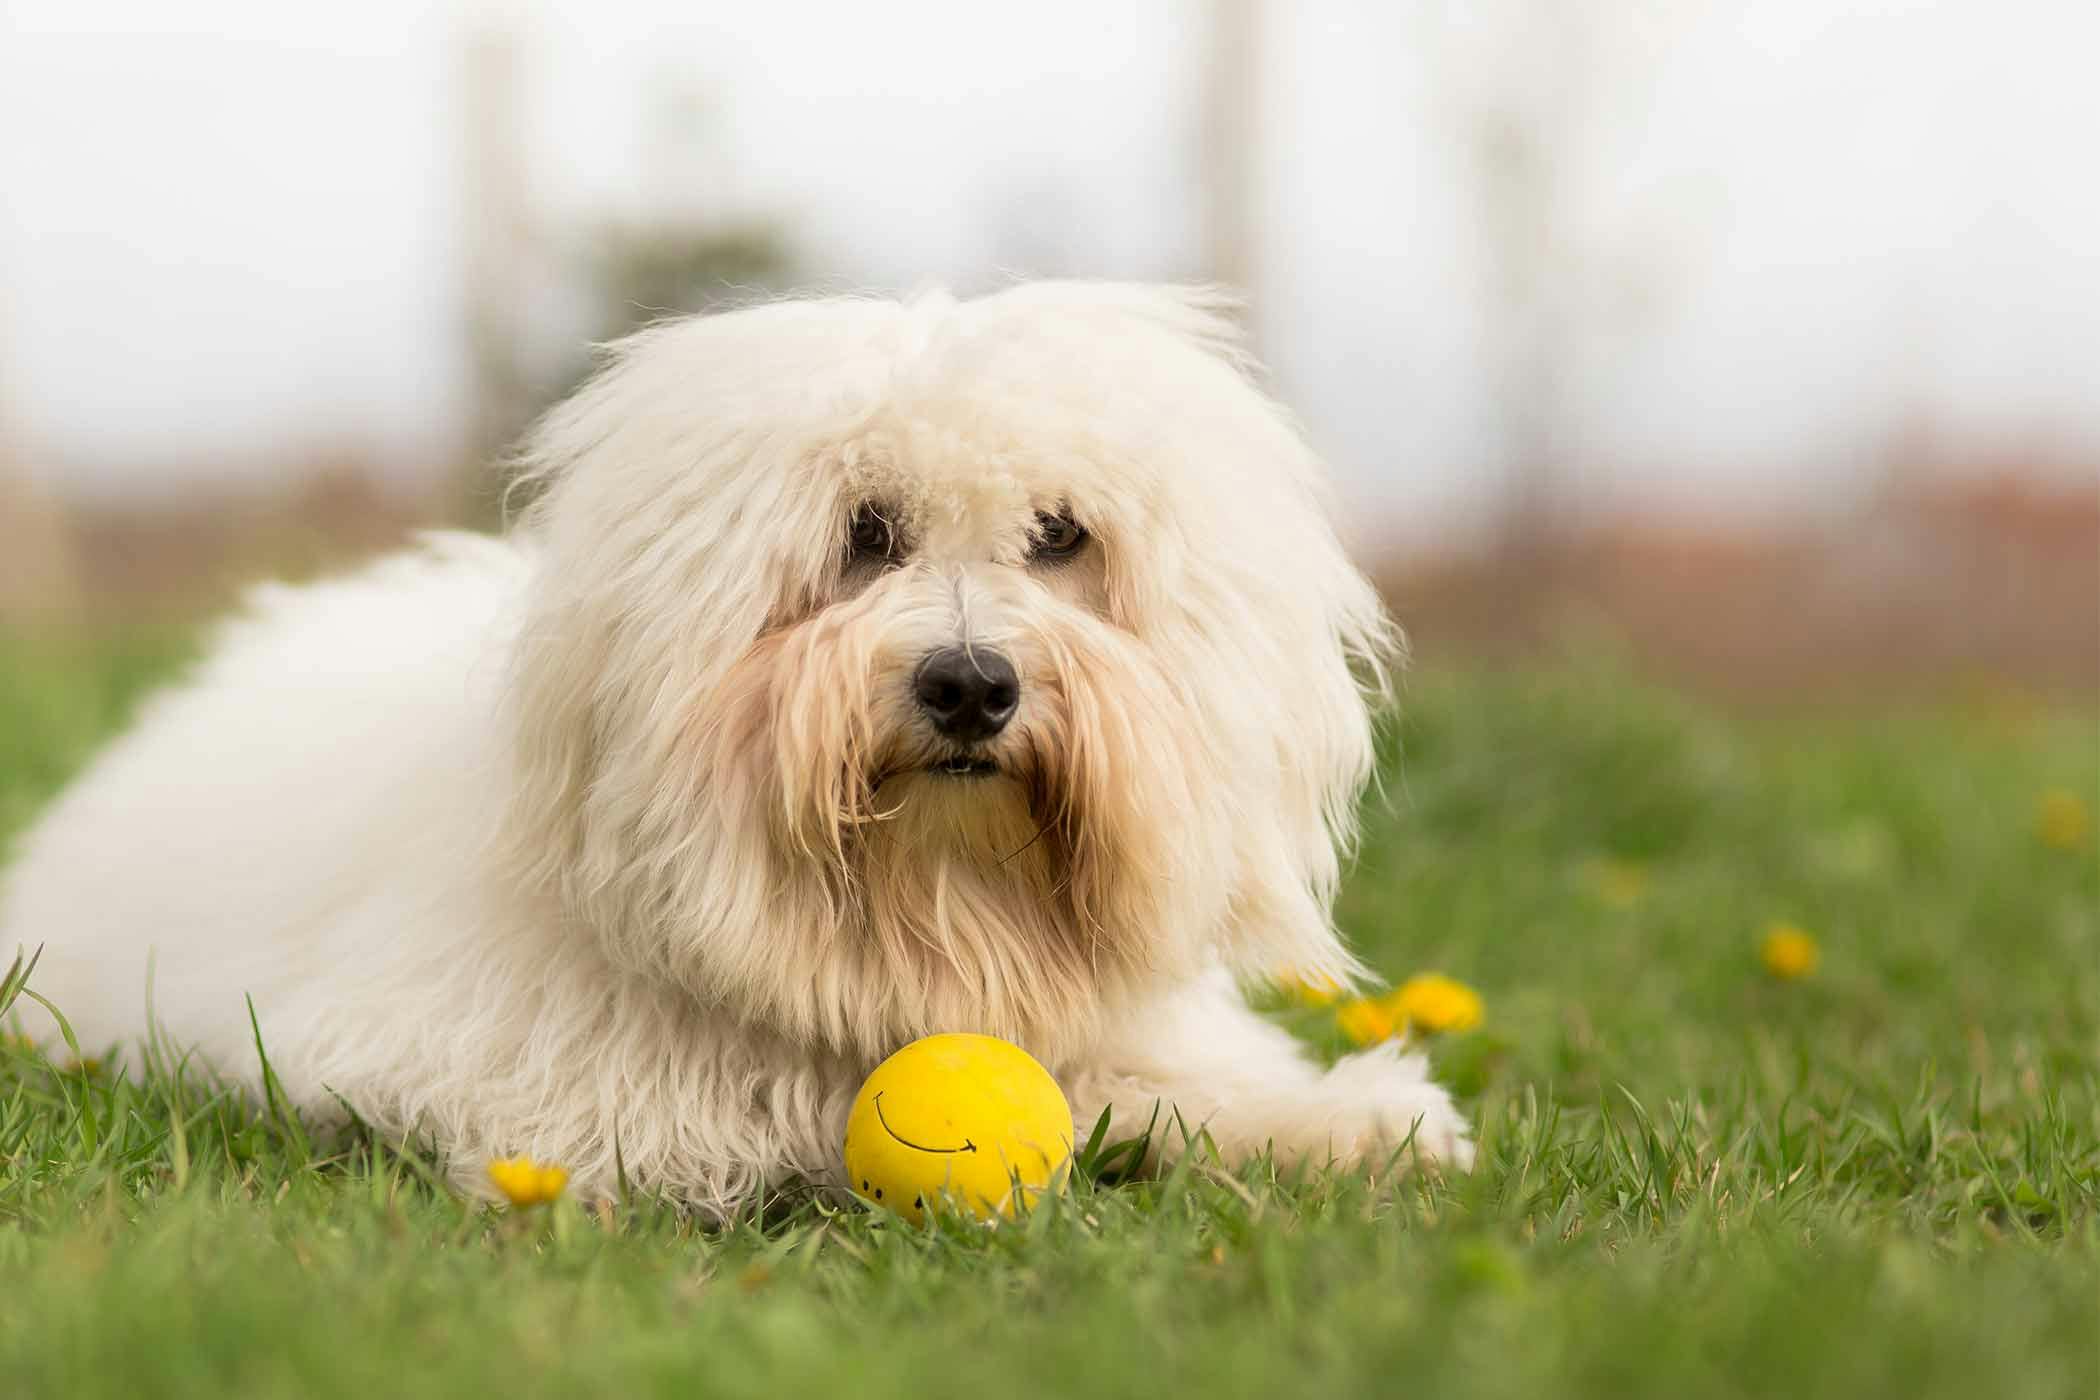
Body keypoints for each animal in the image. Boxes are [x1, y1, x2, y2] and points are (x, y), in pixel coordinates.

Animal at [0, 285, 1478, 1217]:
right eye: (865, 532)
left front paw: (1353, 1126)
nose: (970, 683)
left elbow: (1170, 1082)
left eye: (1060, 534)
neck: (927, 910)